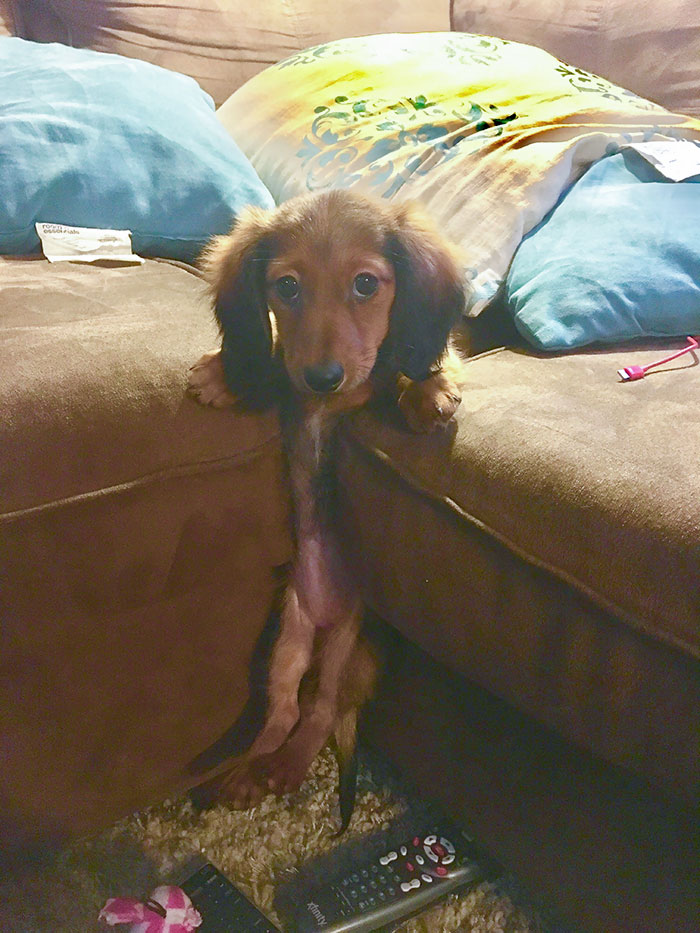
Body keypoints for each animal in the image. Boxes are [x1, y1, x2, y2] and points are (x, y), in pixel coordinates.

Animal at [189, 189, 468, 824]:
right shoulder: (293, 388)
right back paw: (240, 777)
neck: (327, 403)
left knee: (319, 714)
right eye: (286, 287)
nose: (322, 376)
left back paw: (285, 769)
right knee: (286, 713)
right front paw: (227, 371)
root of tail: (321, 615)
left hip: (347, 644)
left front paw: (429, 387)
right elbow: (273, 362)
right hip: (286, 642)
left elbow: (401, 371)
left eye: (366, 284)